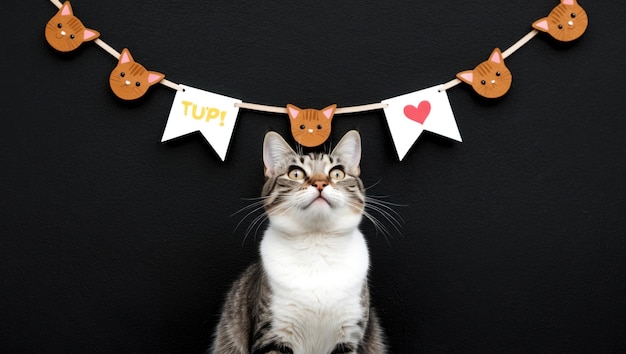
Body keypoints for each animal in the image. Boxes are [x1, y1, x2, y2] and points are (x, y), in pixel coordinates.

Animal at [211, 130, 386, 354]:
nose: (320, 183)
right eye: (296, 173)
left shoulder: (349, 336)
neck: (316, 242)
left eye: (337, 173)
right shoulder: (271, 334)